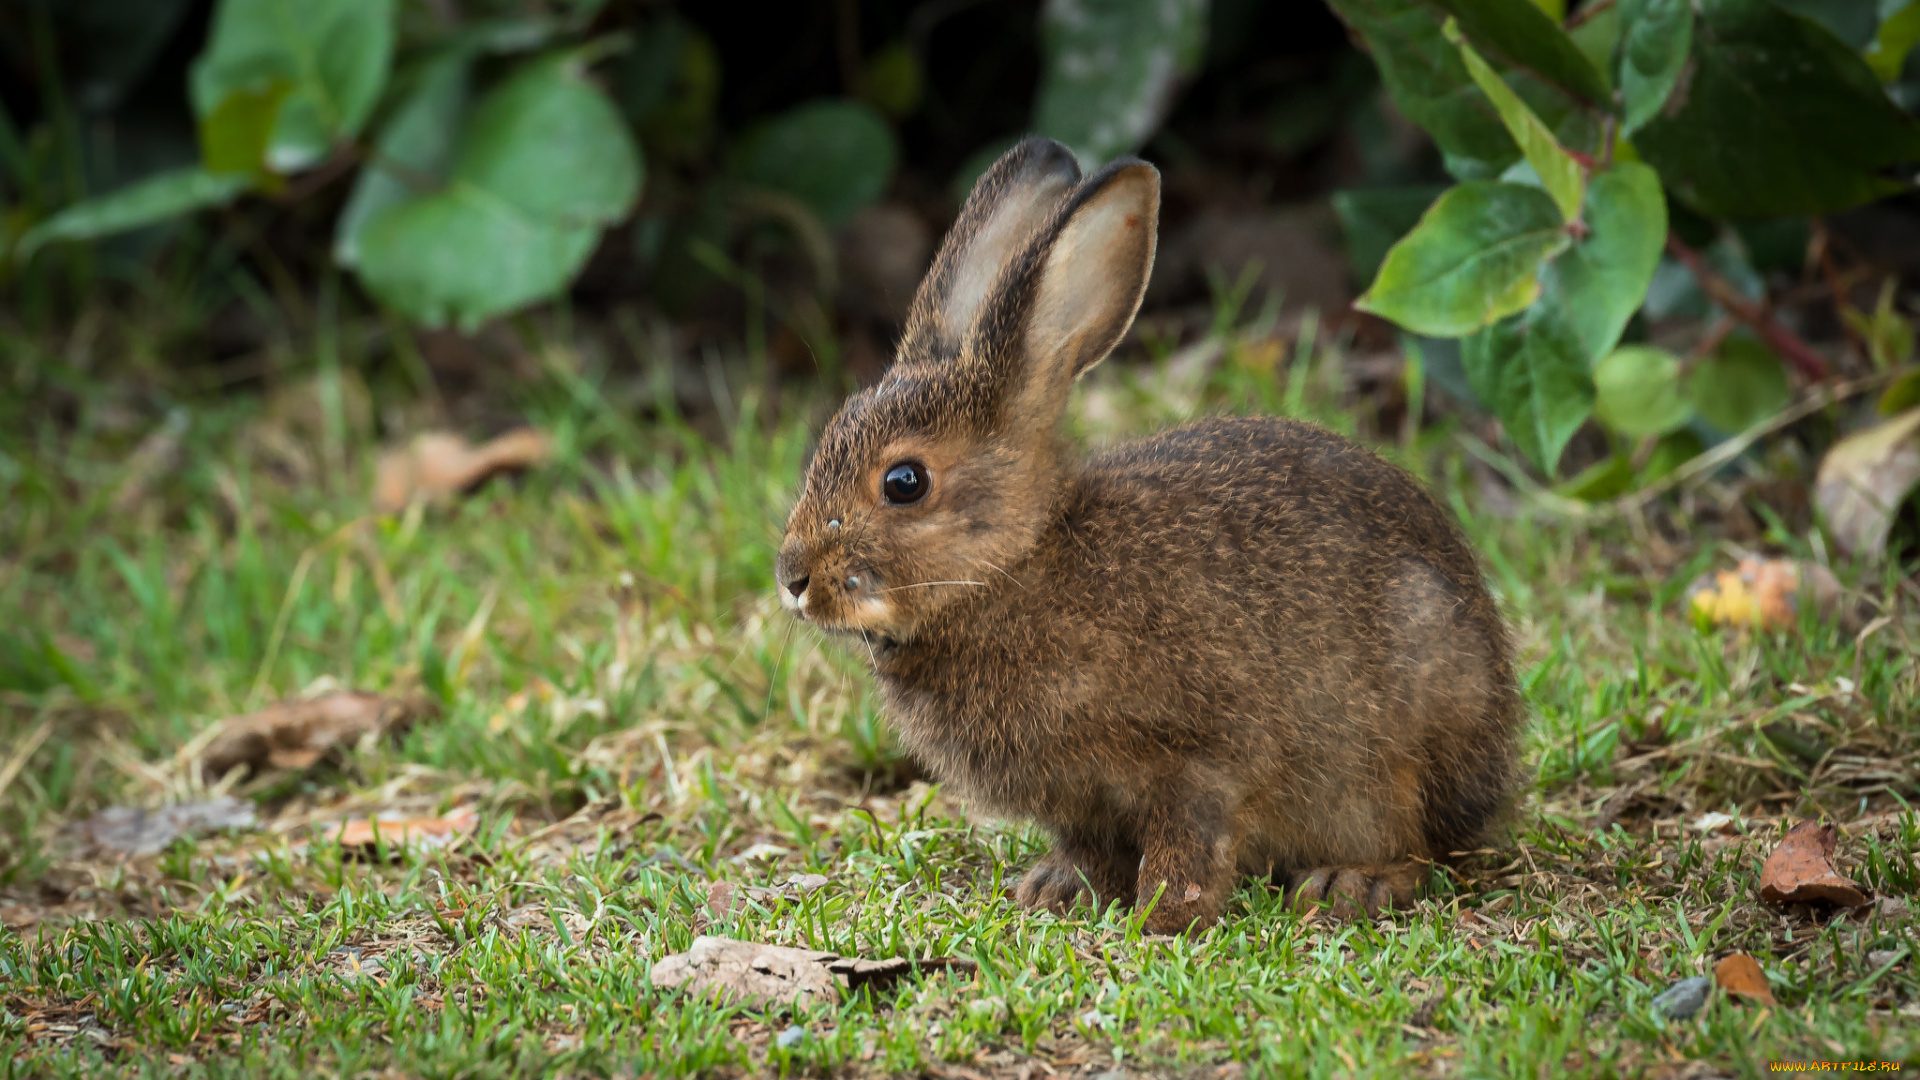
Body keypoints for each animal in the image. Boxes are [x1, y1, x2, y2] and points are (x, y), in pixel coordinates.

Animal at [771, 132, 1520, 926]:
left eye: (904, 482)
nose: (793, 577)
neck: (1014, 567)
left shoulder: (1199, 759)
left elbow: (1190, 839)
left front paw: (1162, 920)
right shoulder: (1080, 802)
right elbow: (1089, 846)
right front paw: (1056, 890)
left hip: (1402, 742)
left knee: (1421, 846)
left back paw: (1353, 883)